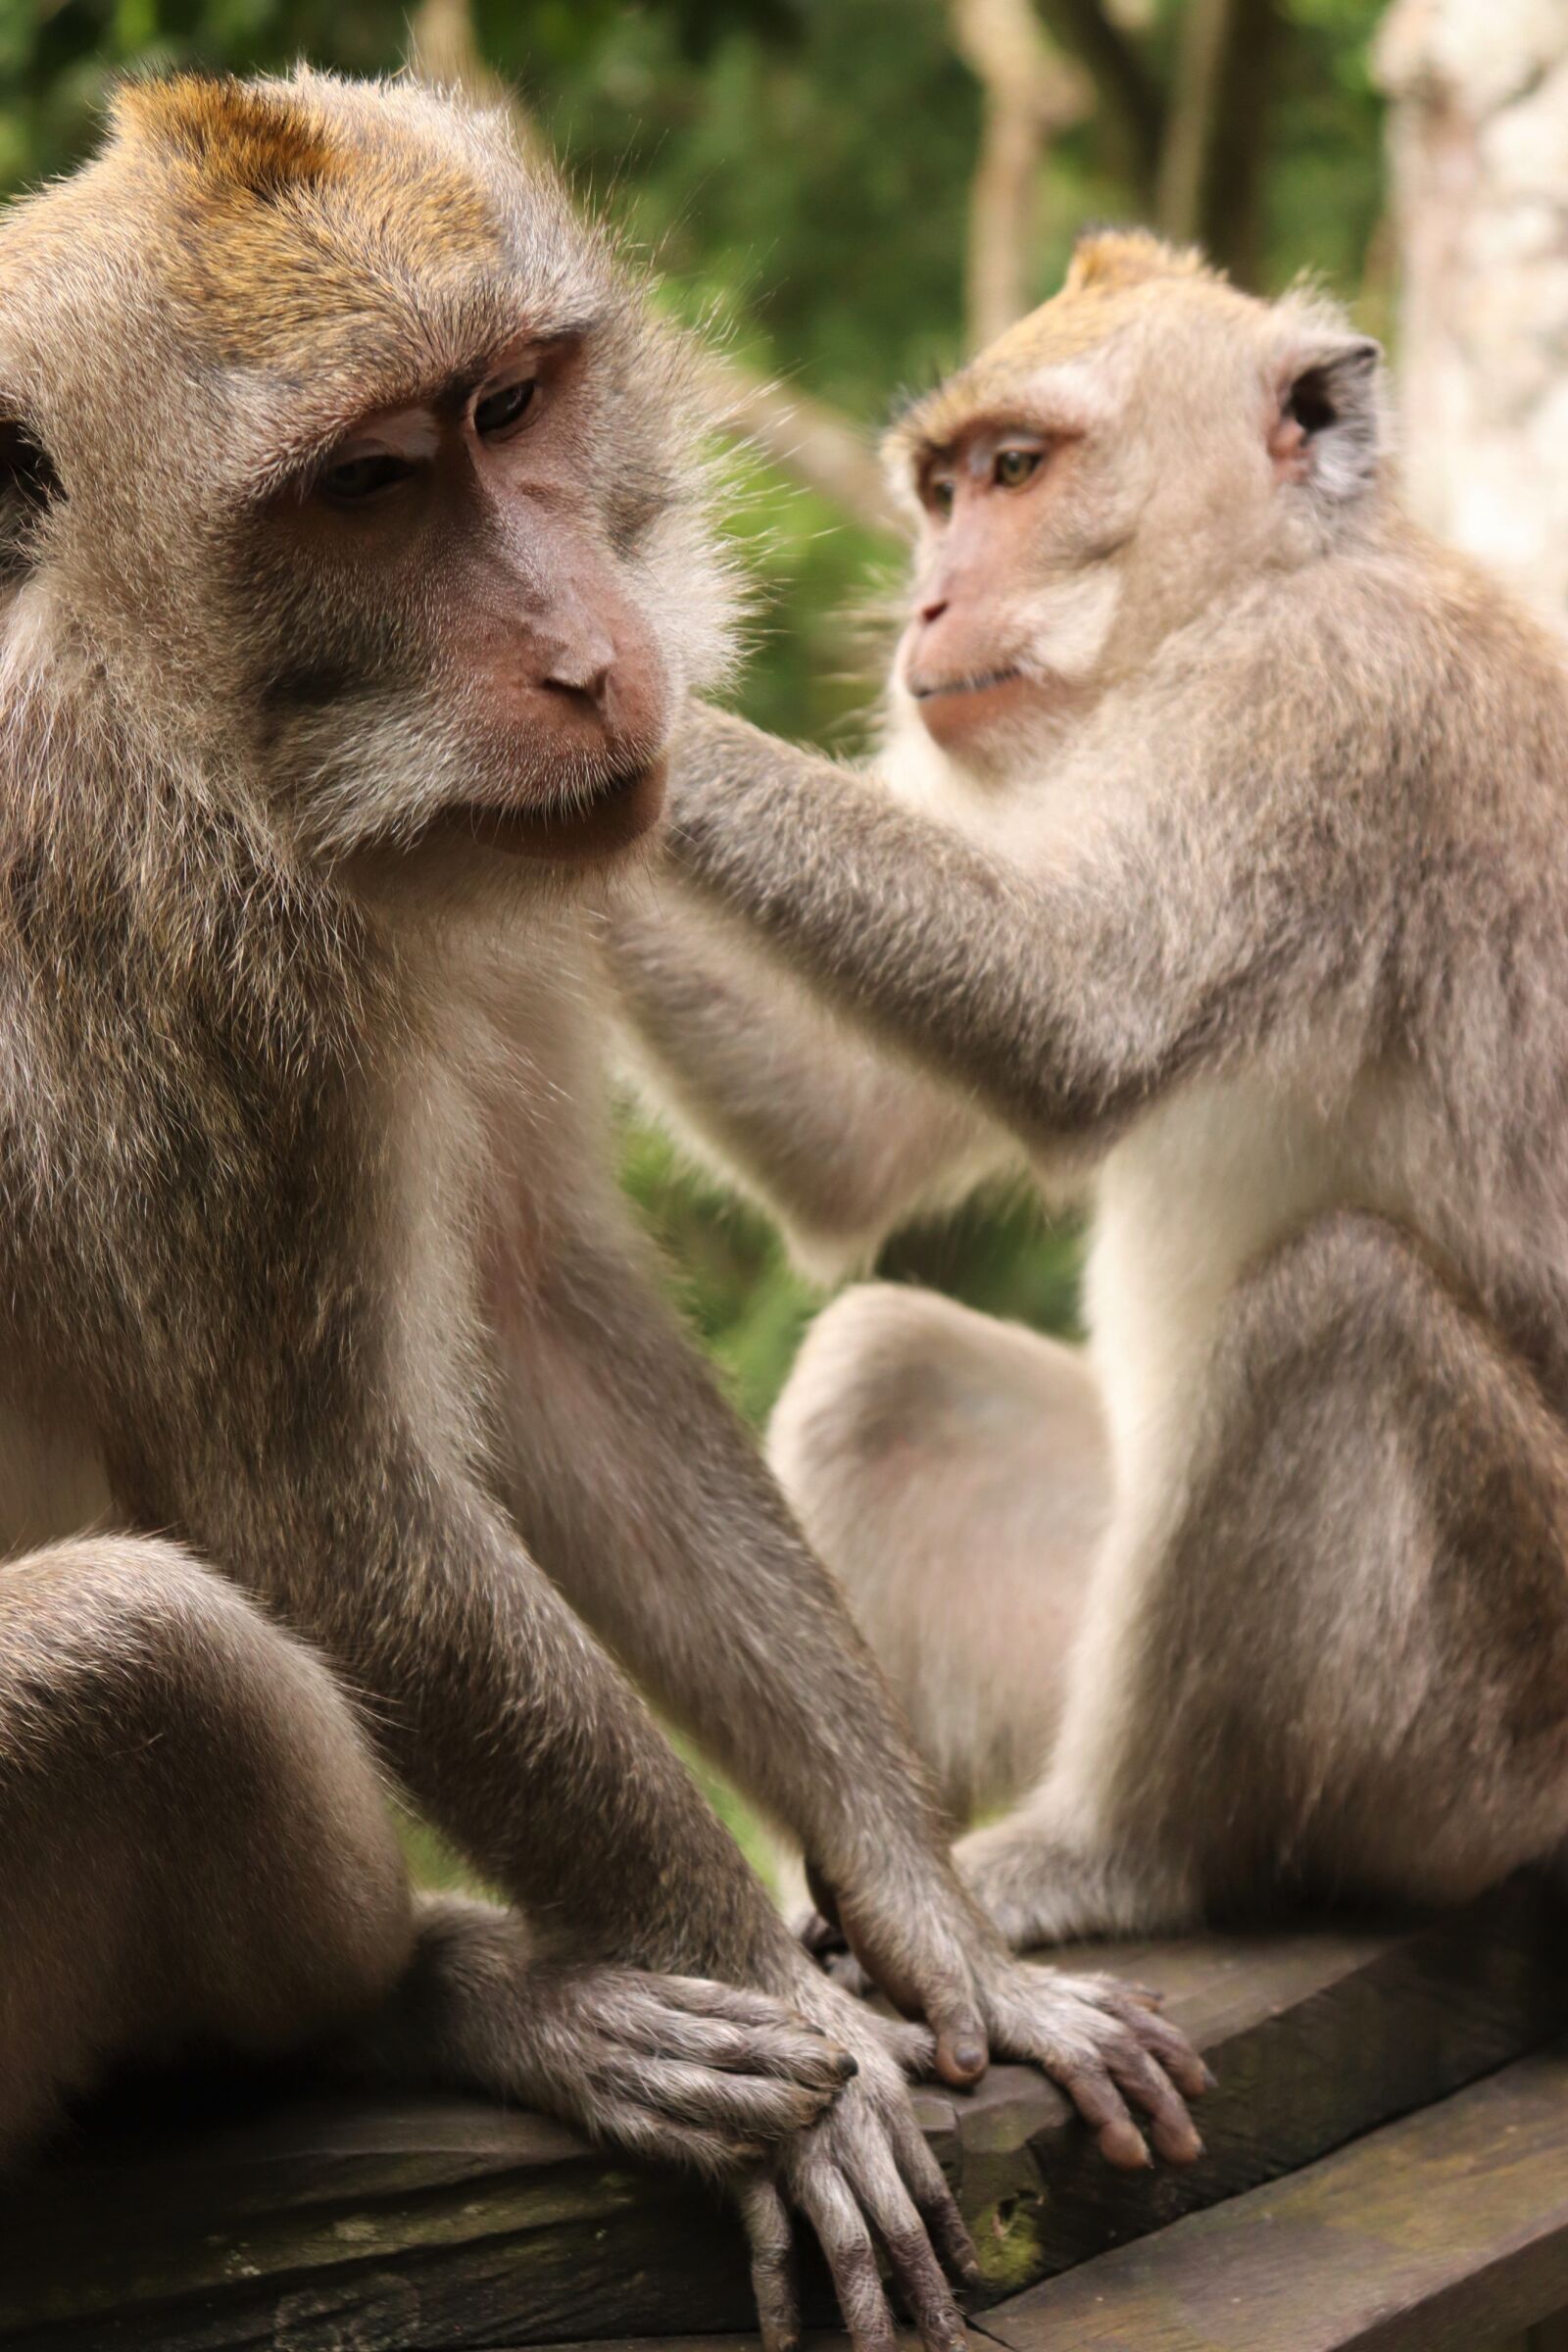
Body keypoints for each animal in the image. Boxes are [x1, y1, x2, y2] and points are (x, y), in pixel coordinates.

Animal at [0, 83, 1206, 2352]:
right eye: (365, 487)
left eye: (507, 406)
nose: (581, 658)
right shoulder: (179, 922)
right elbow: (316, 1498)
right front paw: (762, 2001)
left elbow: (544, 1324)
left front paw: (929, 1921)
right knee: (140, 1647)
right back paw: (442, 2009)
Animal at [607, 227, 1568, 1965]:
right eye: (939, 491)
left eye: (1016, 471)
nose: (928, 601)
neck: (1241, 599)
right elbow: (850, 1145)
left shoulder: (1323, 704)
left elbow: (1077, 1016)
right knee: (887, 1374)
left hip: (1494, 1722)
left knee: (1340, 1309)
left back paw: (1117, 1853)